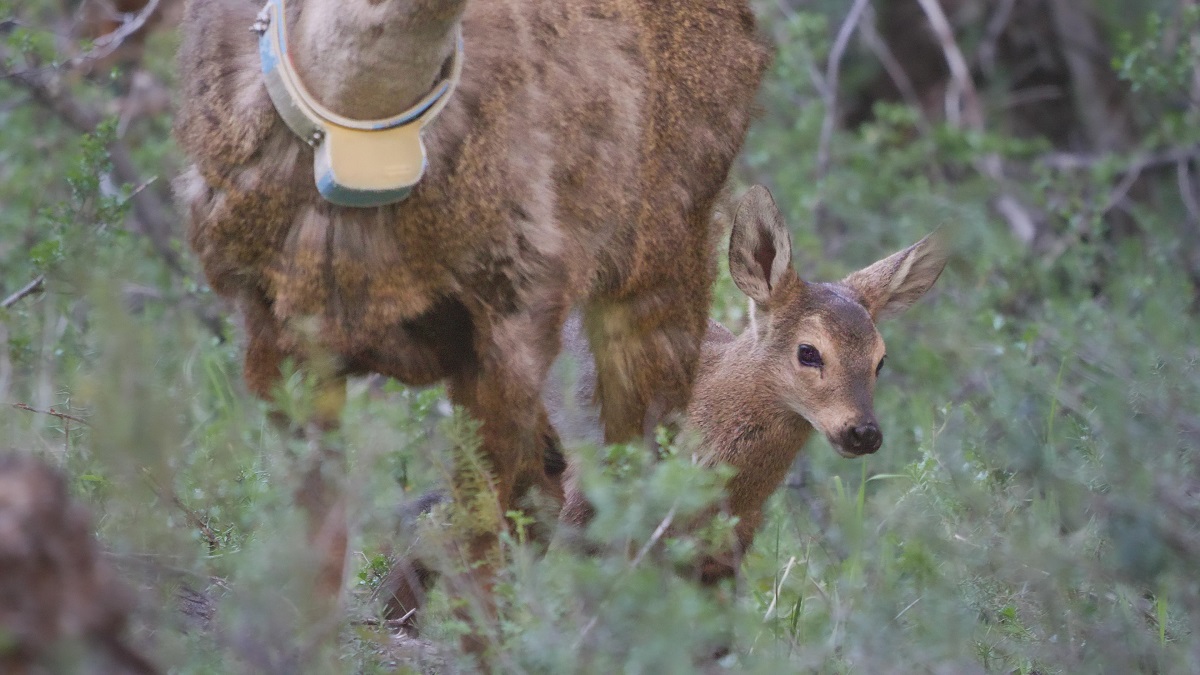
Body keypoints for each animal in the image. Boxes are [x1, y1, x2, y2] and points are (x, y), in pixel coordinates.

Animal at [171, 0, 768, 653]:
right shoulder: (276, 334)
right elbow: (322, 537)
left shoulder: (512, 316)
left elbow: (477, 533)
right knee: (558, 480)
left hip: (662, 261)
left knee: (639, 477)